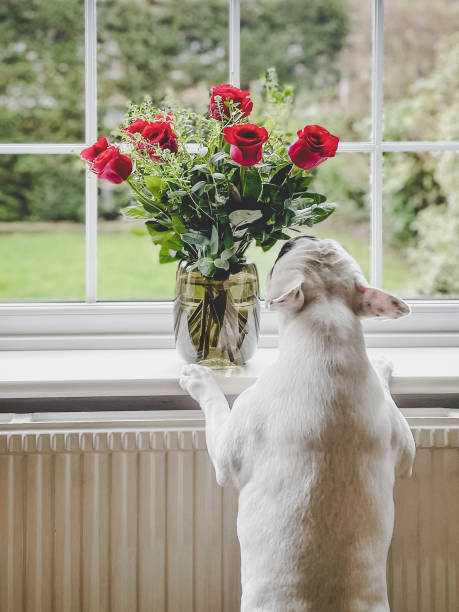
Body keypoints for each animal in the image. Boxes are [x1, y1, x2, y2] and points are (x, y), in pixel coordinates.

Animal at [180, 237, 416, 608]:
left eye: (284, 255)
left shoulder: (225, 452)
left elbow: (216, 404)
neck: (328, 330)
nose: (297, 237)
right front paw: (382, 366)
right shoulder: (405, 450)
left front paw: (201, 379)